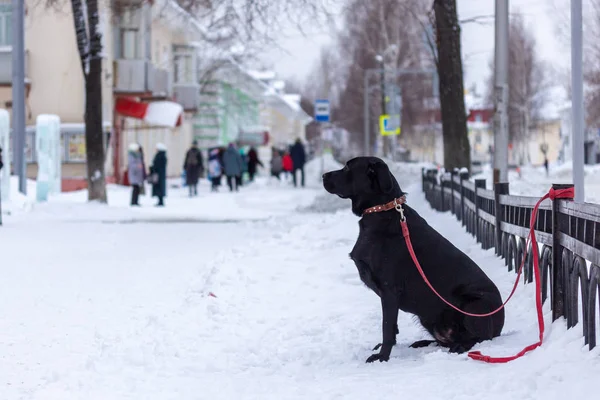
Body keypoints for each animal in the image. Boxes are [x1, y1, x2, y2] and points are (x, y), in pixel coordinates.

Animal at [322, 157, 504, 362]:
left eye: (347, 167)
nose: (323, 176)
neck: (381, 211)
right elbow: (392, 328)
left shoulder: (389, 290)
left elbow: (387, 326)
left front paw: (382, 357)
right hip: (429, 318)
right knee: (444, 340)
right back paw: (422, 343)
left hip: (475, 303)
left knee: (479, 338)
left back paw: (459, 347)